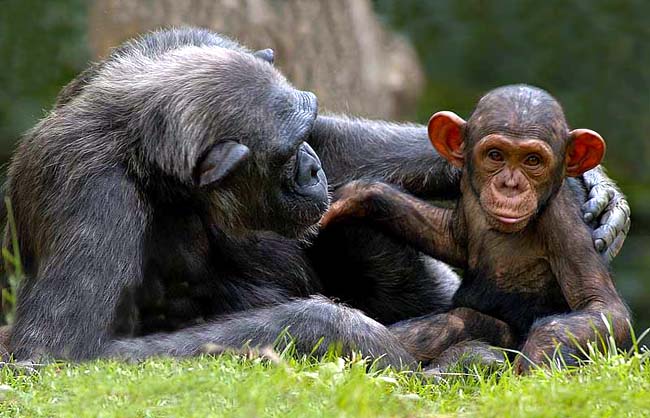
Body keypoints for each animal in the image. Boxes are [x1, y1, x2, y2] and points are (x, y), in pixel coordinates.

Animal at [321, 85, 631, 372]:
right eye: (495, 155)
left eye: (533, 160)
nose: (510, 185)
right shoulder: (468, 189)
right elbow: (450, 239)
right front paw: (362, 195)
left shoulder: (564, 219)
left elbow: (600, 304)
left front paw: (537, 360)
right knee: (457, 321)